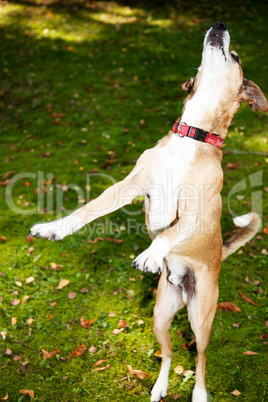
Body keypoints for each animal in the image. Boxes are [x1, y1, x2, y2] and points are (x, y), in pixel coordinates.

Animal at [30, 22, 266, 402]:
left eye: (236, 56)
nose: (219, 25)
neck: (193, 136)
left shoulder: (196, 212)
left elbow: (169, 232)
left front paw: (150, 254)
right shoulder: (129, 186)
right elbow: (88, 210)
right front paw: (55, 228)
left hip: (201, 318)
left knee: (200, 356)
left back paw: (200, 393)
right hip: (159, 314)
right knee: (168, 353)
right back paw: (159, 386)